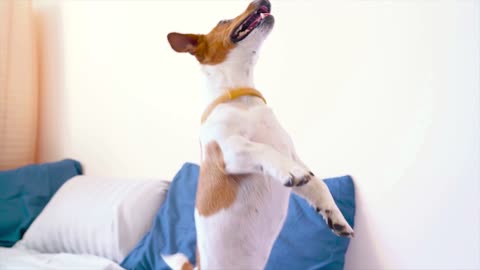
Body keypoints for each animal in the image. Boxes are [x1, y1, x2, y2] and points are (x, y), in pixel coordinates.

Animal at [163, 1, 354, 268]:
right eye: (223, 21)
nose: (263, 2)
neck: (241, 97)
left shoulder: (293, 155)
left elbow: (318, 185)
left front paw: (335, 216)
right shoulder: (227, 153)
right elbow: (263, 149)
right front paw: (290, 171)